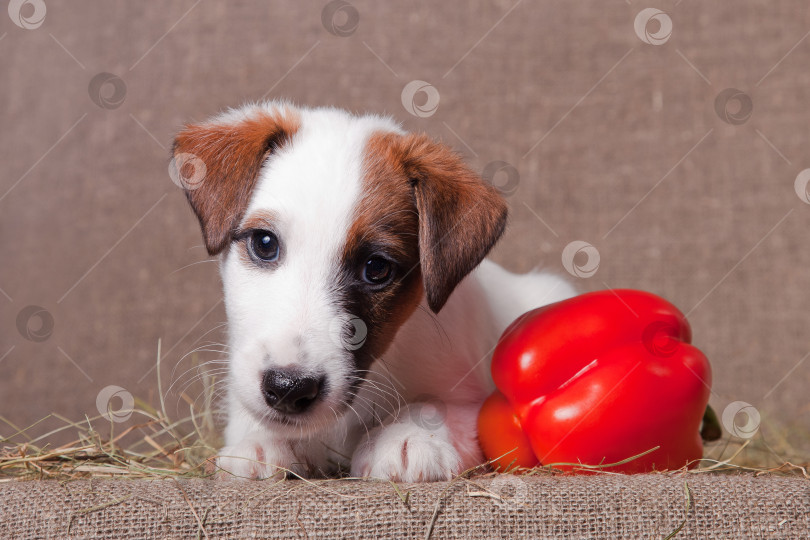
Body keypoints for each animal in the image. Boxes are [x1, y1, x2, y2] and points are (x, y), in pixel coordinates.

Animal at [170, 101, 576, 480]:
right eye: (264, 243)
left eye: (376, 268)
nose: (289, 388)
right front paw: (261, 441)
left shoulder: (474, 404)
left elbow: (434, 406)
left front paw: (408, 436)